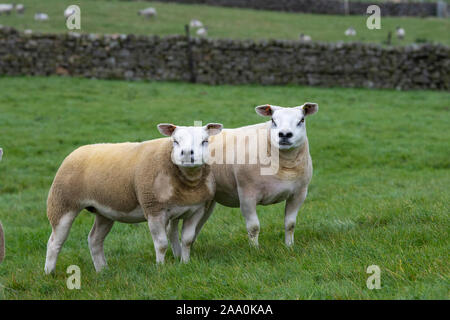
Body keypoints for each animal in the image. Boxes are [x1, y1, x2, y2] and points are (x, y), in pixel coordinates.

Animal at [44, 122, 223, 272]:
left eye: (205, 141)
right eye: (175, 141)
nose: (186, 154)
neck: (187, 183)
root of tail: (77, 150)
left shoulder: (196, 210)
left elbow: (187, 240)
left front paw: (185, 263)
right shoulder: (153, 209)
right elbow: (161, 244)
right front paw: (160, 267)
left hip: (104, 211)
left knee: (94, 240)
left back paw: (102, 270)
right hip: (62, 203)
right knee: (54, 242)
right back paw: (49, 273)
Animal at [195, 103, 318, 248]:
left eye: (302, 120)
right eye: (273, 120)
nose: (284, 134)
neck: (285, 166)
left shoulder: (299, 193)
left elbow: (290, 224)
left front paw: (289, 246)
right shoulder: (247, 195)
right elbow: (254, 227)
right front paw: (254, 249)